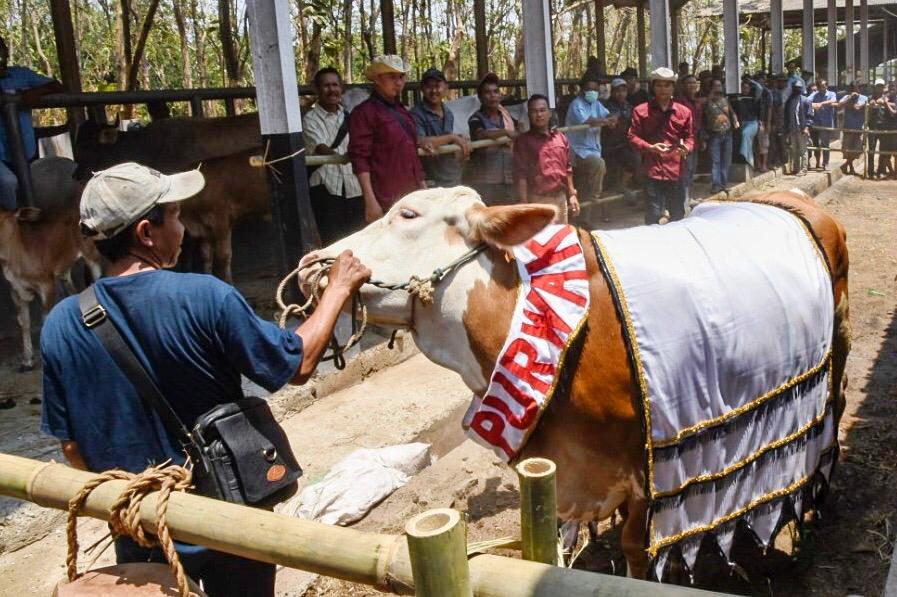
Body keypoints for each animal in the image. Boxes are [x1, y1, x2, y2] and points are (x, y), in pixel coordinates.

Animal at [310, 187, 848, 576]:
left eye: (407, 214)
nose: (312, 263)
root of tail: (791, 199)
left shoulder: (647, 469)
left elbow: (635, 549)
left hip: (837, 349)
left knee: (835, 414)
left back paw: (814, 511)